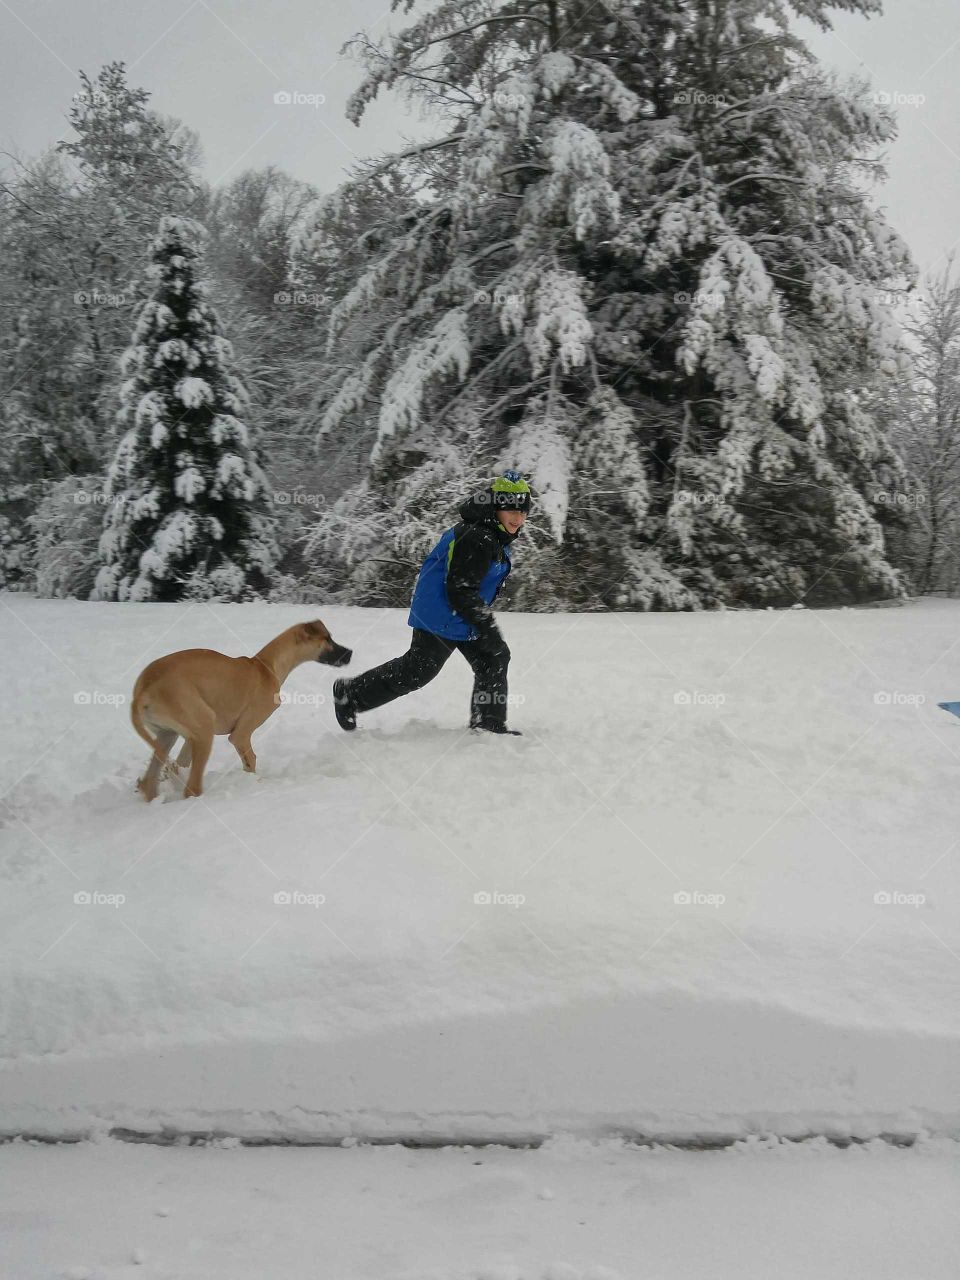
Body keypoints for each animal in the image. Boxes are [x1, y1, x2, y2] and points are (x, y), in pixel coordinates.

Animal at [129, 619, 350, 798]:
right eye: (328, 639)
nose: (350, 653)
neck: (266, 666)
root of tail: (144, 689)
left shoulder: (188, 739)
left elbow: (180, 762)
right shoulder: (241, 735)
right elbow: (250, 761)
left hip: (169, 735)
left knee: (150, 782)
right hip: (204, 729)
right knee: (191, 789)